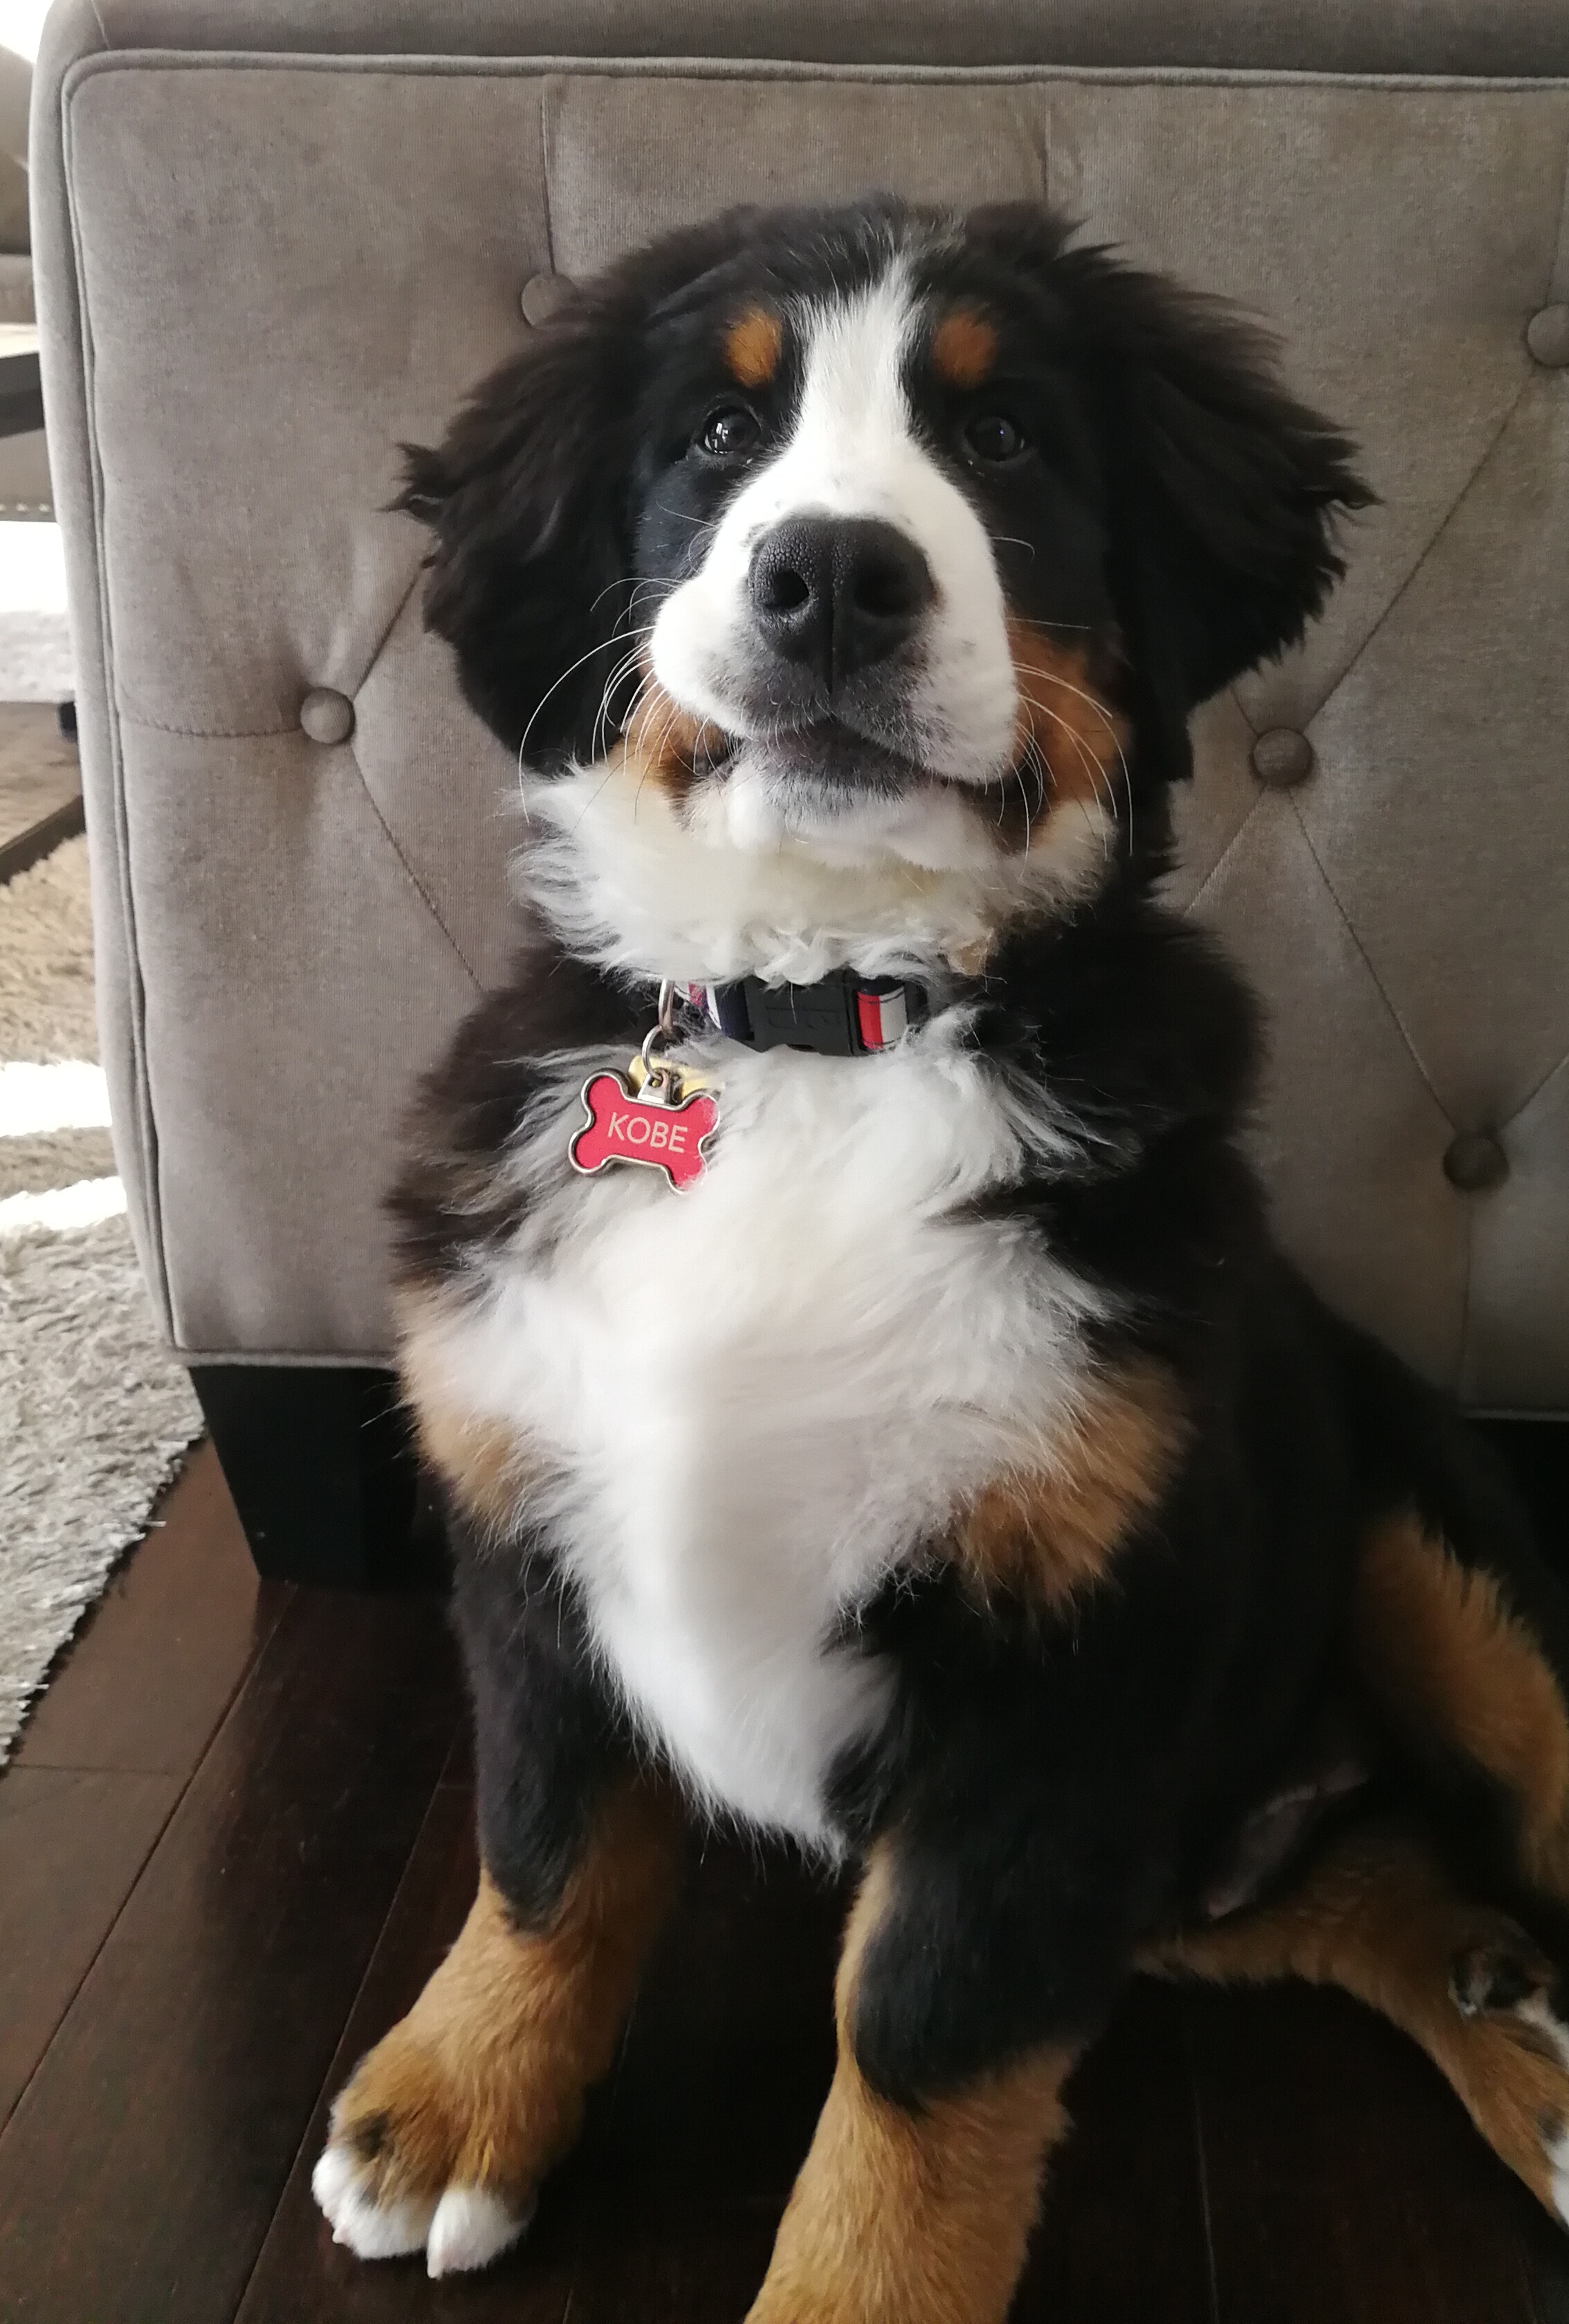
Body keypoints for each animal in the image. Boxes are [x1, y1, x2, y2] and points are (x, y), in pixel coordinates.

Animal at [312, 198, 1569, 2319]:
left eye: (1000, 442)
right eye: (717, 435)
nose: (831, 574)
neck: (826, 1018)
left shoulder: (1065, 1660)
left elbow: (922, 2046)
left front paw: (847, 2285)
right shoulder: (529, 1518)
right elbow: (547, 1851)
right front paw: (454, 2097)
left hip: (1444, 1571)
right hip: (1210, 1857)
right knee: (1380, 1882)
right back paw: (1520, 2033)